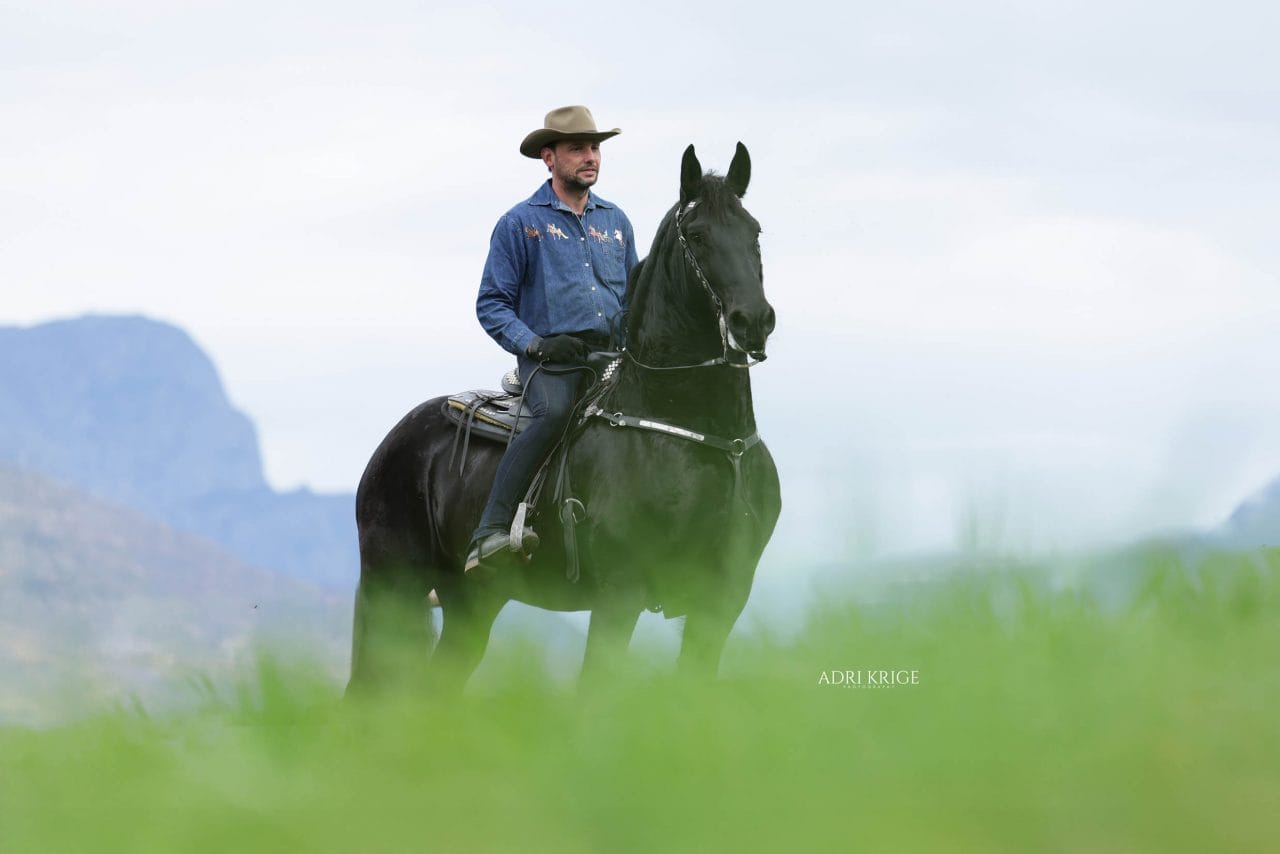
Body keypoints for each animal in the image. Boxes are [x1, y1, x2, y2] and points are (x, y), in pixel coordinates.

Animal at [347, 143, 781, 695]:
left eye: (755, 231)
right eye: (699, 235)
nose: (753, 322)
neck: (705, 436)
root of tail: (393, 443)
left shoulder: (724, 599)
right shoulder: (620, 592)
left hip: (472, 604)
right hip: (392, 587)